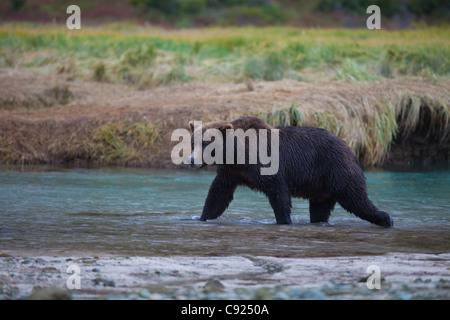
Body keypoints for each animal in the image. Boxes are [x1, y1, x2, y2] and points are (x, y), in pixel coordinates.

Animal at [188, 117, 392, 228]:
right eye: (193, 143)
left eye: (205, 143)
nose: (191, 160)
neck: (237, 153)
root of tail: (351, 148)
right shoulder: (232, 172)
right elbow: (218, 195)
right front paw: (201, 217)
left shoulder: (264, 164)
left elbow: (278, 191)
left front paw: (284, 220)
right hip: (321, 187)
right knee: (320, 209)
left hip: (336, 169)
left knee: (355, 198)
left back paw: (385, 218)